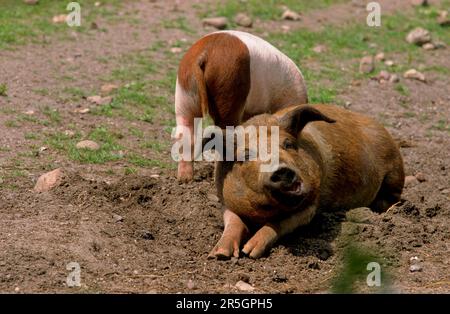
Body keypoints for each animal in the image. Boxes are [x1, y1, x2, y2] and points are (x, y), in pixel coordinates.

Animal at [209, 104, 406, 258]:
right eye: (245, 156)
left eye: (288, 144)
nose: (282, 170)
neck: (265, 211)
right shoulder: (225, 201)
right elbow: (233, 222)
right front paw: (219, 254)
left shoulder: (311, 206)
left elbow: (279, 224)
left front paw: (250, 252)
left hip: (395, 172)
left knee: (390, 197)